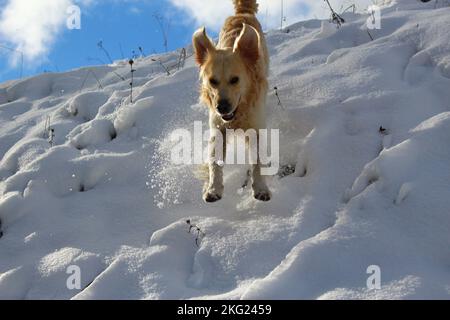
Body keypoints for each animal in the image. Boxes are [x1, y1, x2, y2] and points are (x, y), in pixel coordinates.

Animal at [192, 0, 270, 202]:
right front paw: (213, 189)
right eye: (212, 81)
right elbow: (214, 162)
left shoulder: (256, 128)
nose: (222, 107)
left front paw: (261, 188)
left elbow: (257, 162)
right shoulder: (218, 128)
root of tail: (242, 13)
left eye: (235, 79)